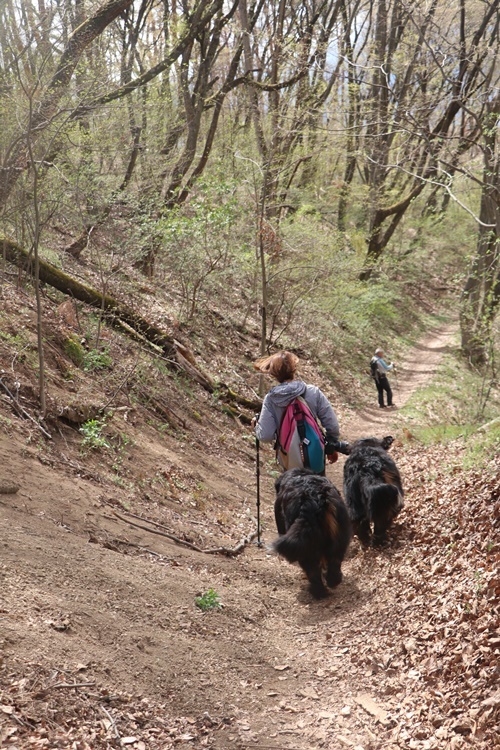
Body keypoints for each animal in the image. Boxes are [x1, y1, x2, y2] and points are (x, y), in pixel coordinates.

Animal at [274, 470, 352, 600]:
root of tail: (313, 497)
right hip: (340, 535)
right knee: (335, 561)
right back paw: (332, 581)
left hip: (307, 546)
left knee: (312, 571)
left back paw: (318, 592)